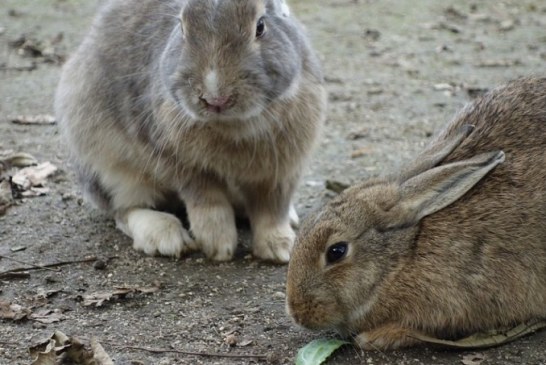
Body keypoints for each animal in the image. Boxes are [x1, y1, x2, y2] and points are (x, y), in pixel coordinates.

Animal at [56, 0, 324, 262]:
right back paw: (166, 236)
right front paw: (218, 246)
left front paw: (280, 249)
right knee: (124, 209)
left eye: (260, 27)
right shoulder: (183, 164)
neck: (232, 124)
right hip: (109, 168)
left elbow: (272, 209)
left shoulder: (281, 171)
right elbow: (207, 201)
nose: (215, 99)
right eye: (182, 27)